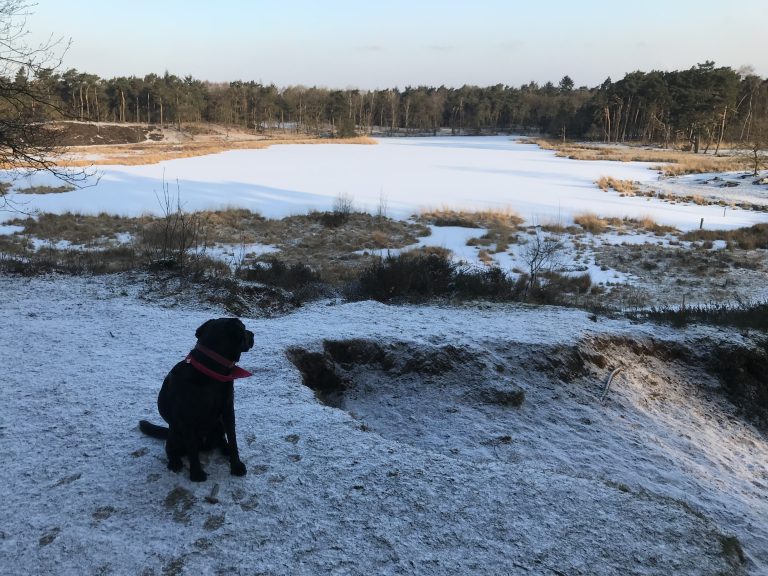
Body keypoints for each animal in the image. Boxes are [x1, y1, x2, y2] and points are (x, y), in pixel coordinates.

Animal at [140, 320, 254, 482]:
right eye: (244, 329)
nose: (253, 334)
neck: (211, 371)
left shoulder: (228, 410)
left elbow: (233, 440)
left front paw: (236, 466)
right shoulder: (187, 420)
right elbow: (192, 450)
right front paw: (196, 474)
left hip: (218, 425)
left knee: (221, 440)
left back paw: (224, 448)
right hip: (175, 431)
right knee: (170, 449)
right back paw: (174, 462)